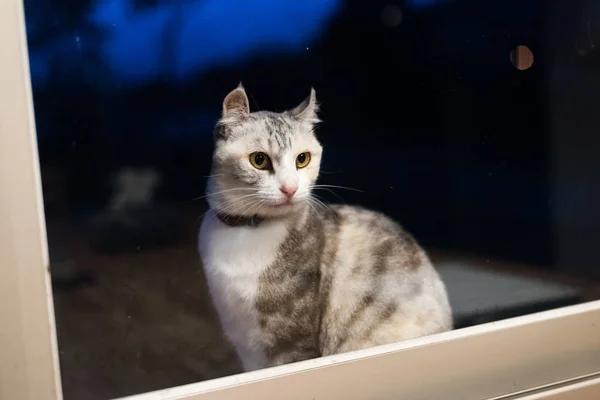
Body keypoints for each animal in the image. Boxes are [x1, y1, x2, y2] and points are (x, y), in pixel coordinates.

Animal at [199, 84, 452, 372]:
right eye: (259, 160)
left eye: (302, 159)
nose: (290, 188)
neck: (247, 232)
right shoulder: (246, 346)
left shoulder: (293, 342)